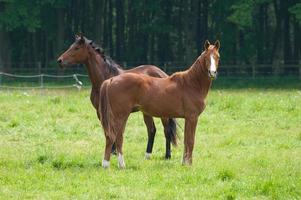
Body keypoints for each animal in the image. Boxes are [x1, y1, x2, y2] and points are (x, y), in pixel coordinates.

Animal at [99, 39, 219, 168]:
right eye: (206, 57)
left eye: (217, 56)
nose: (212, 73)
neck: (191, 83)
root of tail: (111, 80)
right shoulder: (192, 117)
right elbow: (191, 141)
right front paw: (189, 165)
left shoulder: (188, 118)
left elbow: (186, 140)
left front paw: (184, 163)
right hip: (120, 116)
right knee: (116, 137)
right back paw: (115, 165)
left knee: (113, 137)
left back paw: (112, 164)